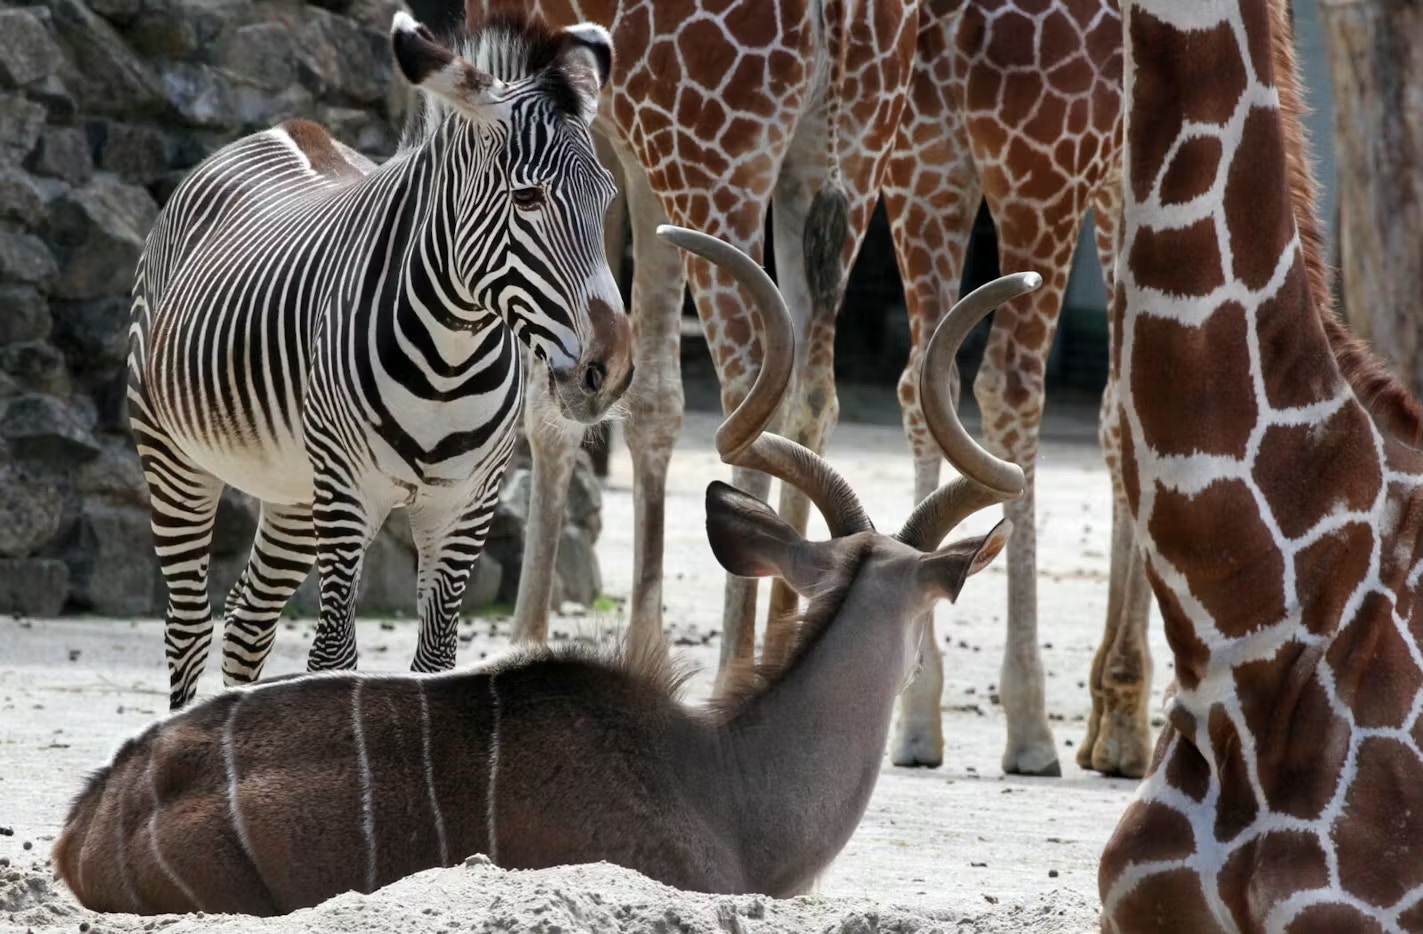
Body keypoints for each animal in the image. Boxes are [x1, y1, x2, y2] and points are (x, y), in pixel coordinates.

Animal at [126, 9, 633, 710]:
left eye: (608, 196)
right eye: (528, 198)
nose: (608, 372)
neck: (450, 360)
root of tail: (282, 128)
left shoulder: (465, 505)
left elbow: (437, 660)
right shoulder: (348, 493)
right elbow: (334, 656)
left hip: (293, 489)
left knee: (248, 621)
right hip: (173, 455)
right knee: (189, 627)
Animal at [469, 0, 919, 668]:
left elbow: (554, 410)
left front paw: (525, 639)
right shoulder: (625, 149)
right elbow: (651, 397)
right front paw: (643, 644)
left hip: (718, 163)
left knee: (756, 390)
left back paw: (736, 667)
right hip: (850, 157)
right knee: (814, 397)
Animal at [879, 0, 1139, 776]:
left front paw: (1111, 718)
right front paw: (1124, 724)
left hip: (922, 168)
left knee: (924, 375)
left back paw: (916, 716)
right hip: (1039, 173)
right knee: (1009, 382)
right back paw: (1029, 727)